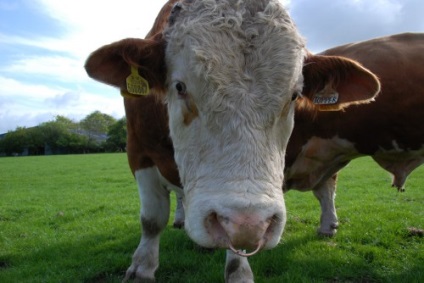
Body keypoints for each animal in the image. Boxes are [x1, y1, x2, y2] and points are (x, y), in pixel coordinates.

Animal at [84, 0, 380, 282]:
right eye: (180, 87)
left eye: (295, 95)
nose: (248, 222)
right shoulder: (138, 150)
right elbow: (152, 219)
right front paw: (141, 269)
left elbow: (237, 247)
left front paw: (239, 272)